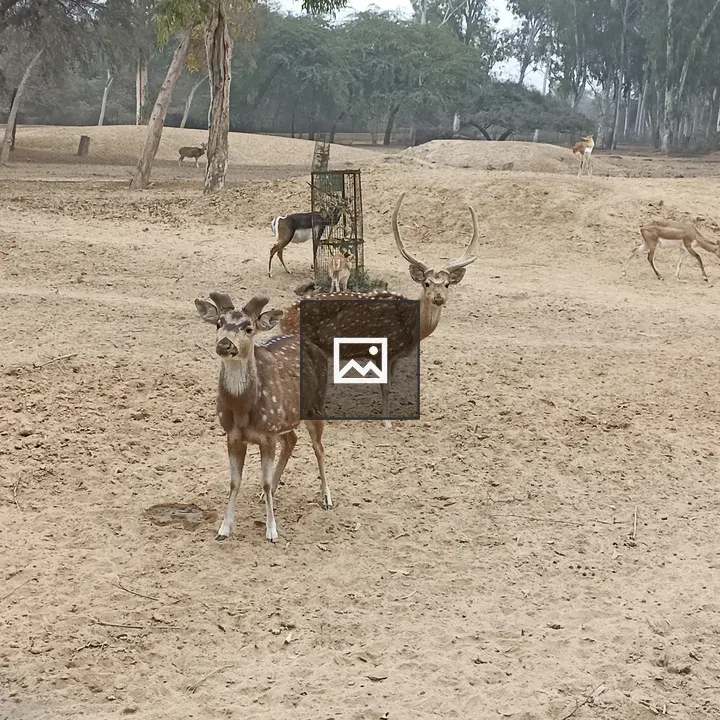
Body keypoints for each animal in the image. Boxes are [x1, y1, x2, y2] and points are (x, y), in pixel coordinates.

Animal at [194, 291, 332, 543]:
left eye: (249, 328)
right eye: (219, 323)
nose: (224, 344)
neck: (242, 411)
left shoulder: (267, 434)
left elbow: (264, 481)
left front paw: (271, 531)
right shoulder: (233, 435)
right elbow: (234, 482)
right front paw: (223, 529)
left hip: (316, 405)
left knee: (319, 448)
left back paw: (326, 498)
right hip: (284, 420)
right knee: (292, 439)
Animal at [278, 192, 479, 428]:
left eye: (446, 285)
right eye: (427, 283)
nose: (438, 298)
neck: (411, 328)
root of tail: (283, 318)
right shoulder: (385, 349)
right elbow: (385, 387)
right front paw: (386, 422)